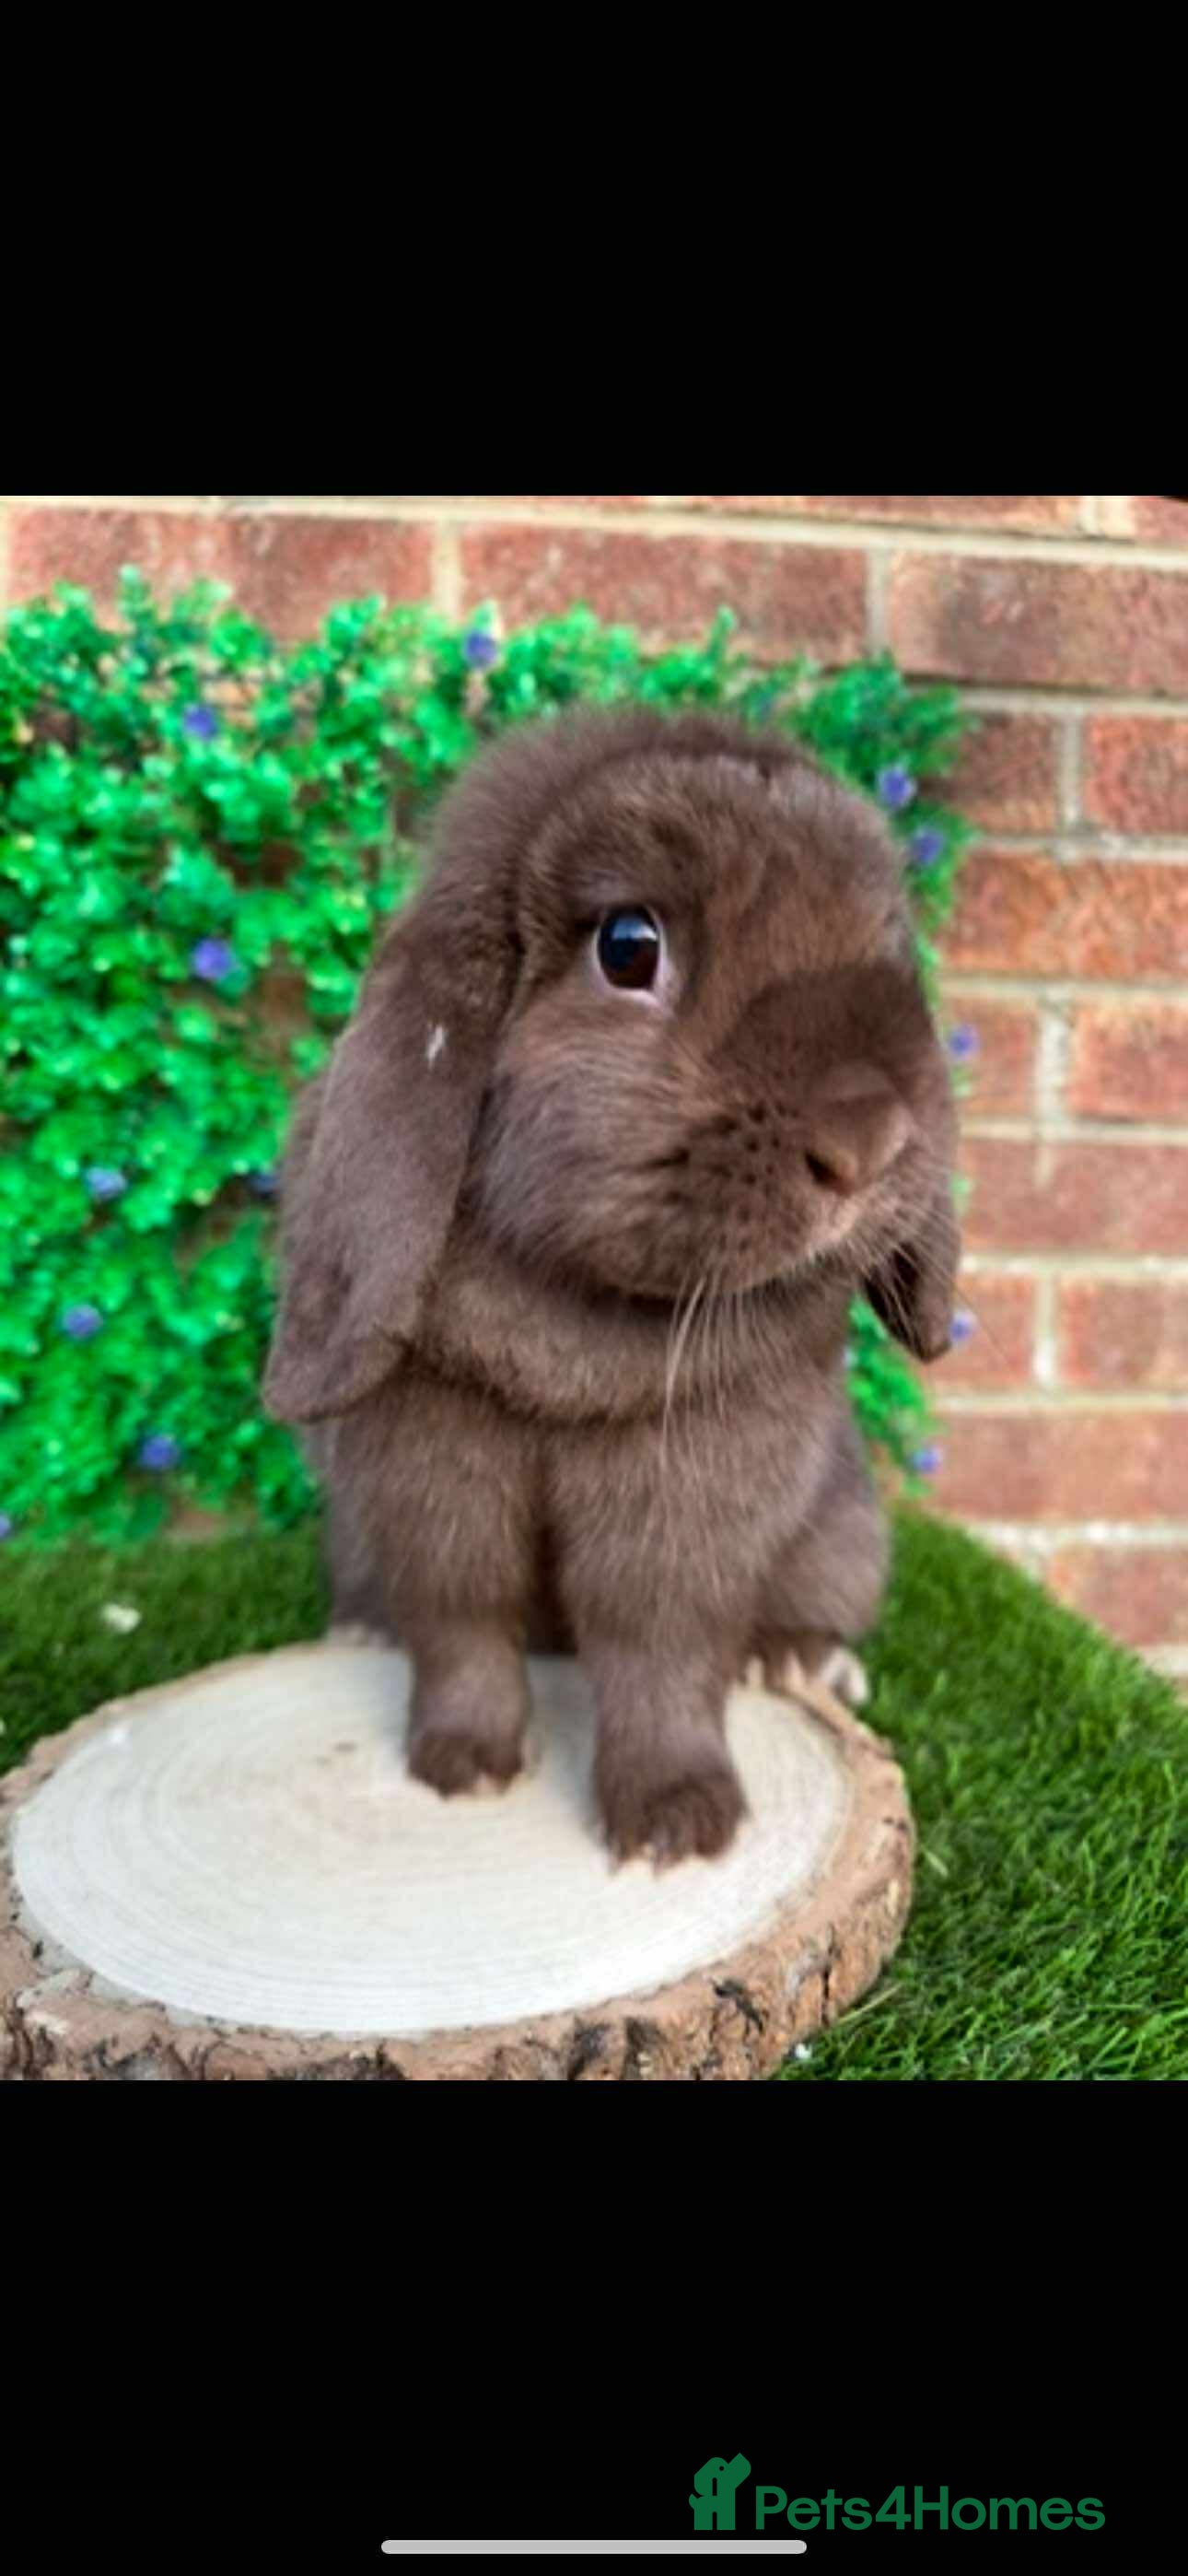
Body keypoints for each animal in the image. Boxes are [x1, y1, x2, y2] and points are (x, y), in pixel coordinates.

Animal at [264, 705, 959, 1867]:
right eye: (629, 947)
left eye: (887, 949)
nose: (869, 1141)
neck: (579, 1303)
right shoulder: (431, 1478)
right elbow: (463, 1622)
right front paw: (465, 1765)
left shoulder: (685, 1501)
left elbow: (657, 1650)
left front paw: (680, 1823)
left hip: (845, 1536)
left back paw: (798, 1660)